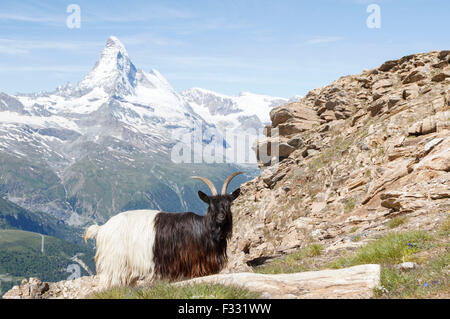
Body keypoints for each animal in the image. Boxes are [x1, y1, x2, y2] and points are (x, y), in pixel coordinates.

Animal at [84, 172, 243, 290]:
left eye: (228, 204)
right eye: (211, 205)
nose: (221, 217)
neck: (203, 229)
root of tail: (102, 228)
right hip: (114, 263)